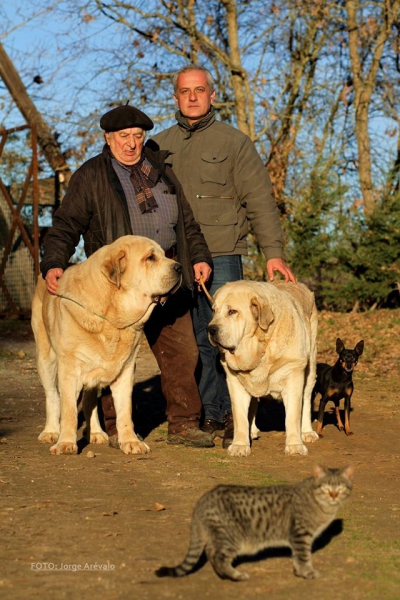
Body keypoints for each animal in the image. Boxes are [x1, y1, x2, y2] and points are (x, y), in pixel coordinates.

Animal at [31, 234, 181, 454]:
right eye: (150, 258)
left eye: (164, 255)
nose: (179, 267)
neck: (112, 317)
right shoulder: (69, 369)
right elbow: (68, 410)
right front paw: (66, 442)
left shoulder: (125, 369)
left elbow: (125, 412)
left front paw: (130, 441)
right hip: (46, 359)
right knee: (52, 396)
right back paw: (50, 431)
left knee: (89, 401)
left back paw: (95, 432)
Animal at [156, 464, 354, 580]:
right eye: (327, 487)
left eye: (340, 488)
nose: (334, 494)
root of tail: (204, 499)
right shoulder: (300, 534)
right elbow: (304, 556)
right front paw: (307, 573)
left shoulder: (298, 538)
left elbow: (297, 557)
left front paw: (299, 572)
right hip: (232, 538)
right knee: (218, 556)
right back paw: (235, 575)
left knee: (211, 552)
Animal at [209, 278, 318, 458]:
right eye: (214, 310)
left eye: (232, 311)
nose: (210, 329)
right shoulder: (235, 382)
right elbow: (239, 417)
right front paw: (239, 445)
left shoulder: (293, 375)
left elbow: (293, 416)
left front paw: (295, 446)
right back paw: (251, 431)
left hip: (311, 367)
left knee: (307, 398)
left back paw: (307, 432)